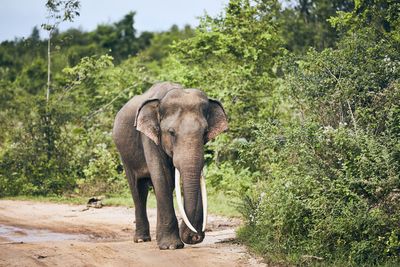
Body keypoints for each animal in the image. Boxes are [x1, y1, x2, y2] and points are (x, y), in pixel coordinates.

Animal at [112, 82, 228, 250]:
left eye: (205, 132)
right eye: (171, 132)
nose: (195, 237)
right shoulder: (149, 138)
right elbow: (162, 176)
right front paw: (171, 246)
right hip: (125, 155)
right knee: (138, 189)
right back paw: (141, 239)